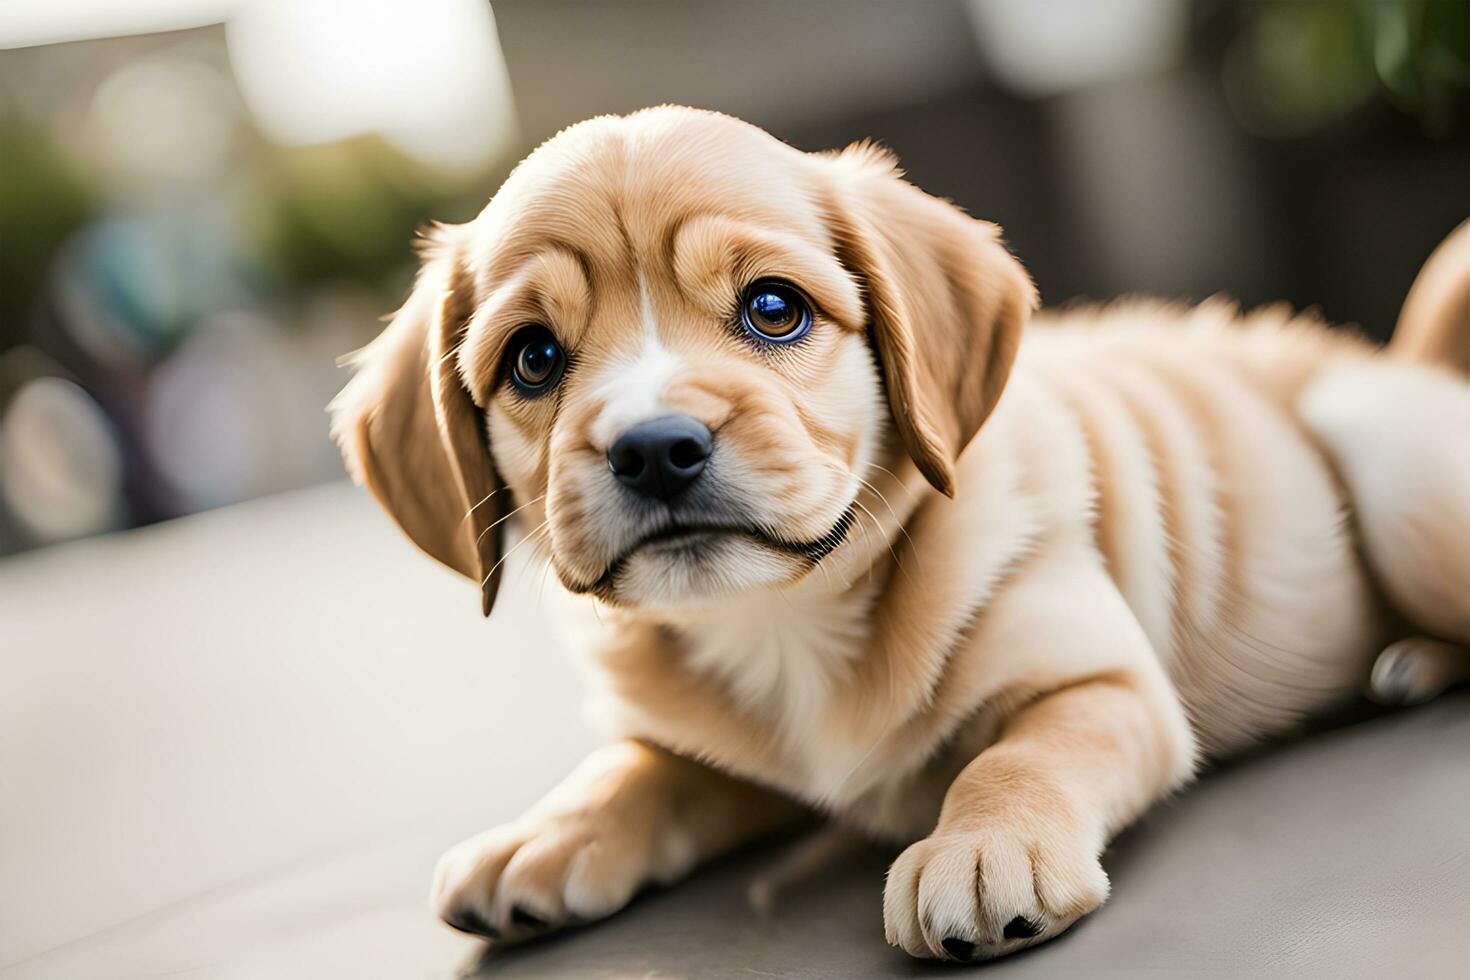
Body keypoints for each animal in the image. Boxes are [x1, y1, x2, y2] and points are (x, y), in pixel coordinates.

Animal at [333, 105, 1470, 957]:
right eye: (533, 359)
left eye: (773, 309)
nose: (655, 448)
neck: (784, 616)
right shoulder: (717, 753)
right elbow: (643, 767)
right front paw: (549, 831)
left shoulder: (1105, 683)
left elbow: (1019, 755)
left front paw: (984, 846)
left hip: (1389, 464)